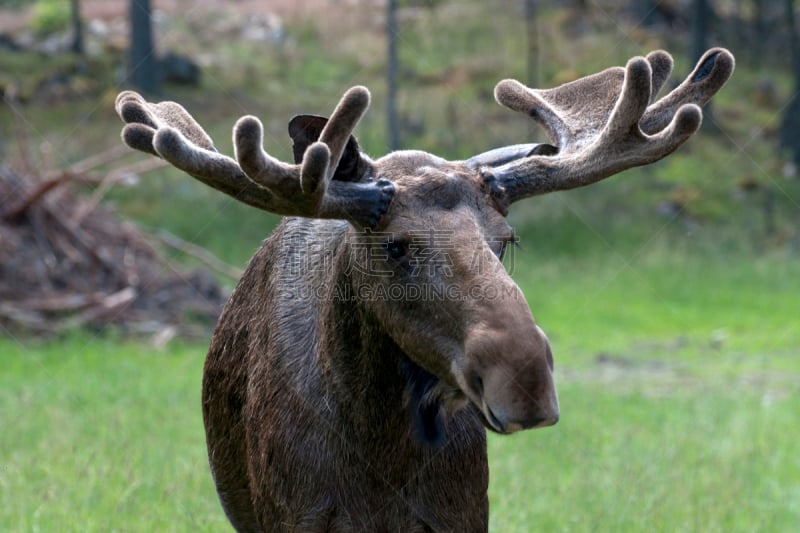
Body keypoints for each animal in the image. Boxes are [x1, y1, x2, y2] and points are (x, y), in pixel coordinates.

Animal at [115, 47, 736, 528]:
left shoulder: (459, 514)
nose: (525, 380)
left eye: (506, 239)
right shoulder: (294, 515)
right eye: (395, 245)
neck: (378, 455)